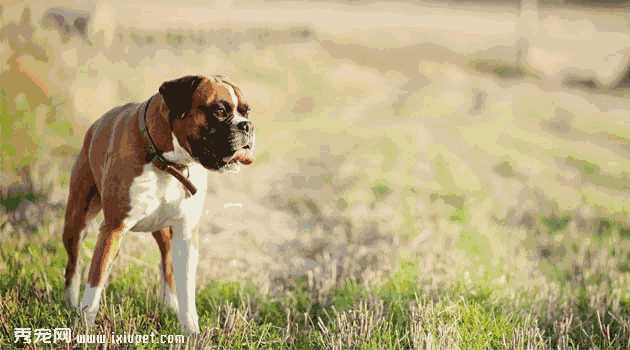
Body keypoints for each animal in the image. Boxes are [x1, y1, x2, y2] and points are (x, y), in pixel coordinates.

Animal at [60, 74, 254, 334]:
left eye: (246, 111)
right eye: (220, 111)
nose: (247, 126)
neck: (168, 163)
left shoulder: (186, 235)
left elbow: (186, 288)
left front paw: (192, 331)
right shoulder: (112, 229)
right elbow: (96, 280)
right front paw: (83, 326)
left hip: (164, 233)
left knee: (167, 265)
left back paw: (169, 304)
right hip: (76, 223)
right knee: (73, 265)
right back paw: (70, 302)